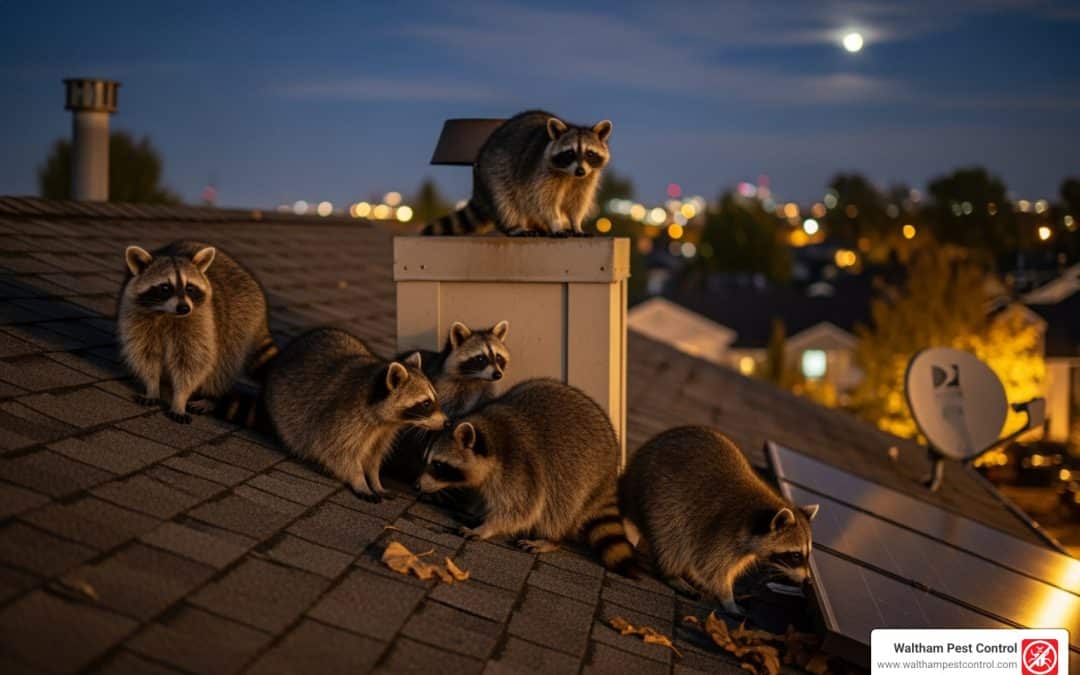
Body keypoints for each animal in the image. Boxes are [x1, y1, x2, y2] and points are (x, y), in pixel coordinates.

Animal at [118, 241, 277, 424]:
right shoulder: (136, 316)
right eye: (165, 287)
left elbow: (192, 362)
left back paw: (211, 397)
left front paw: (180, 399)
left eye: (190, 288)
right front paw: (152, 386)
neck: (166, 314)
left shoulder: (201, 320)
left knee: (223, 363)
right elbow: (145, 355)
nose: (184, 308)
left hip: (241, 324)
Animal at [263, 328, 447, 501]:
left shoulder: (383, 433)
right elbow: (339, 453)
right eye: (426, 403)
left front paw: (375, 481)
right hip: (282, 409)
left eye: (435, 398)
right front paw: (360, 481)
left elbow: (374, 457)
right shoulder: (343, 420)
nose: (448, 423)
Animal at [417, 378, 637, 575]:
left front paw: (487, 527)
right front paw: (478, 511)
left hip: (581, 473)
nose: (418, 486)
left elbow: (520, 510)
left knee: (560, 505)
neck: (492, 432)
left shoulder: (520, 470)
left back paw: (551, 538)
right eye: (427, 459)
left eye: (438, 465)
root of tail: (611, 471)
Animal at [421, 110, 612, 237]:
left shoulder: (587, 178)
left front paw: (576, 224)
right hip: (494, 171)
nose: (580, 170)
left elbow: (577, 201)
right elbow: (543, 200)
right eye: (569, 153)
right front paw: (556, 223)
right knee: (505, 199)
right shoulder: (540, 171)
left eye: (590, 153)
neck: (568, 175)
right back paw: (515, 226)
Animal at [619, 426, 819, 617]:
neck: (756, 516)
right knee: (672, 536)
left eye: (808, 553)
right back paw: (671, 574)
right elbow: (710, 567)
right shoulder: (721, 531)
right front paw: (727, 597)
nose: (808, 580)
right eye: (795, 555)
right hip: (658, 497)